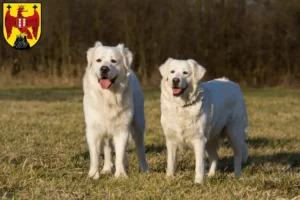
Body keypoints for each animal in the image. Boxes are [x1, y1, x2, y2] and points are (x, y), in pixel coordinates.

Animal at [82, 41, 148, 179]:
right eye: (98, 60)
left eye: (113, 61)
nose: (104, 69)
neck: (108, 96)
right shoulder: (93, 130)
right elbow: (95, 156)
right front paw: (93, 175)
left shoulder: (122, 129)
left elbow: (120, 154)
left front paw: (121, 175)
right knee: (107, 148)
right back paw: (107, 168)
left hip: (138, 123)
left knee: (140, 146)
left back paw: (144, 168)